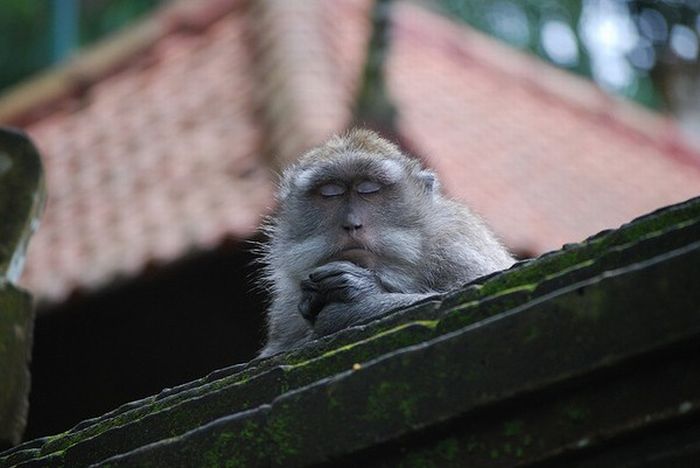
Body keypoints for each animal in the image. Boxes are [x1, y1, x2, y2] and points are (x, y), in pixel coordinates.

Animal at [258, 130, 516, 356]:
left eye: (368, 189)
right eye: (330, 193)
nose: (352, 224)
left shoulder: (456, 248)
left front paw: (360, 292)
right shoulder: (286, 306)